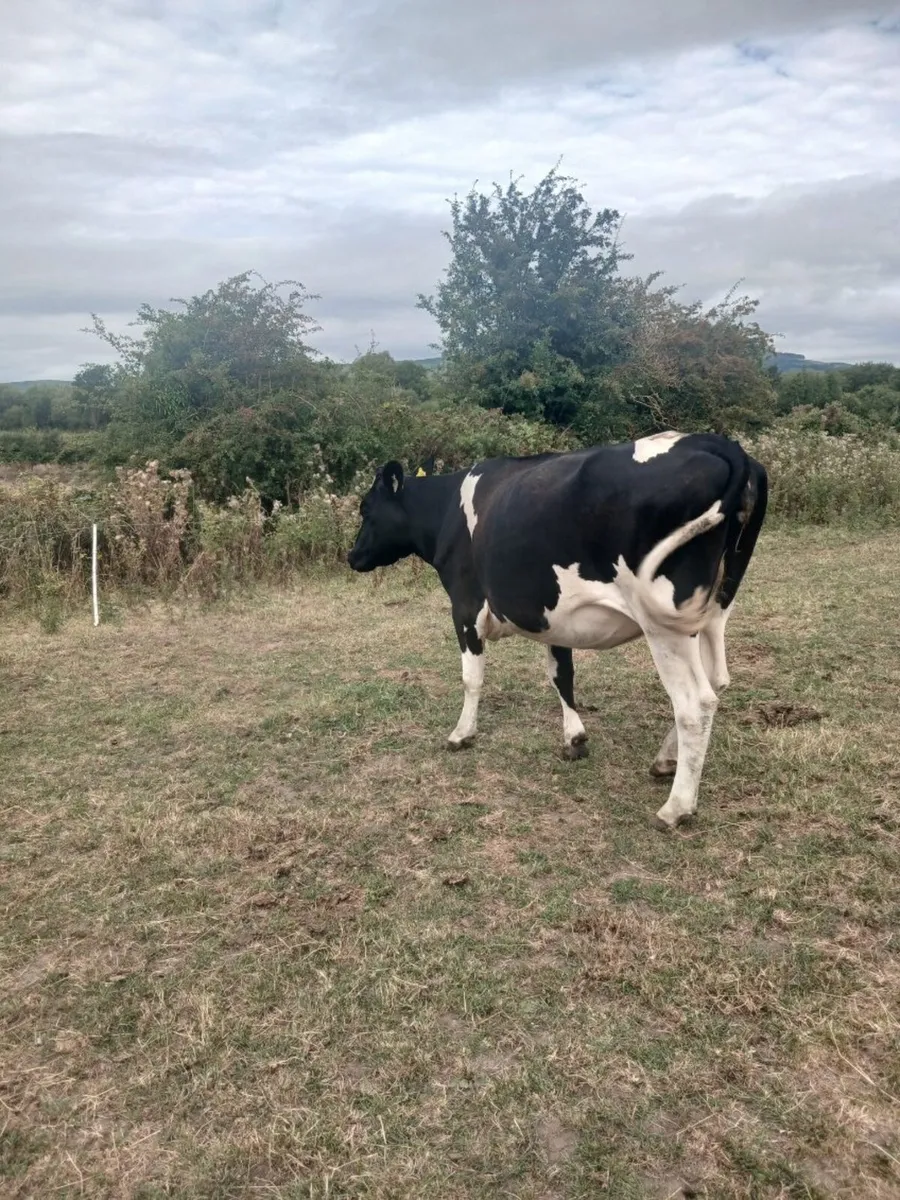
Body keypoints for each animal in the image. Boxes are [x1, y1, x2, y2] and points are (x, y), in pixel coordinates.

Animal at [347, 432, 768, 829]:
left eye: (366, 509)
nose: (352, 556)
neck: (448, 509)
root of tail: (719, 444)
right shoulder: (555, 615)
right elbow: (561, 675)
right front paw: (574, 739)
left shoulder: (465, 606)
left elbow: (471, 678)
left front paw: (461, 734)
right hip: (713, 611)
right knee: (717, 681)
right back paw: (666, 760)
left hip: (664, 624)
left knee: (695, 703)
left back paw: (676, 807)